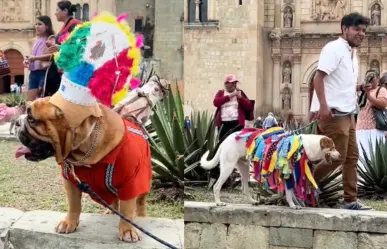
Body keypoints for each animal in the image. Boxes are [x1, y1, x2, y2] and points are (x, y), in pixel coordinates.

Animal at [14, 98, 150, 243]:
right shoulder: (70, 180)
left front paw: (128, 229)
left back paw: (141, 216)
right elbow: (73, 204)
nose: (16, 121)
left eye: (31, 119)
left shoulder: (131, 182)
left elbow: (127, 209)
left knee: (140, 202)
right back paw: (111, 212)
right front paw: (69, 223)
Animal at [202, 129, 342, 209]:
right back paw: (218, 203)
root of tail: (224, 140)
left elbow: (291, 193)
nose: (340, 155)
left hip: (244, 168)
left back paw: (253, 201)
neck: (305, 146)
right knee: (216, 186)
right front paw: (293, 205)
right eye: (333, 147)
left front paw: (296, 203)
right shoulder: (287, 173)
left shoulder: (291, 175)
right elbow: (289, 194)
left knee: (244, 188)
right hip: (228, 167)